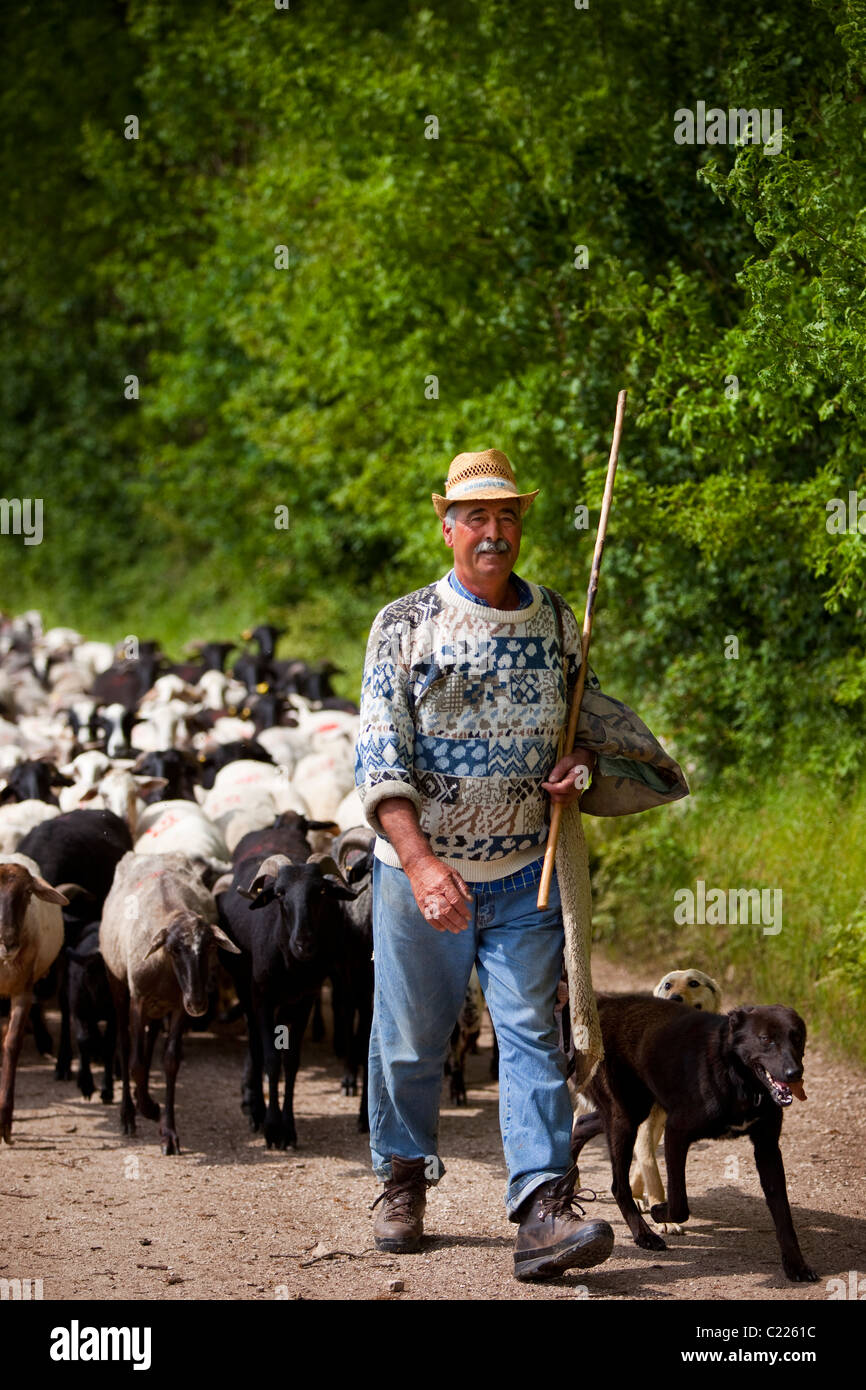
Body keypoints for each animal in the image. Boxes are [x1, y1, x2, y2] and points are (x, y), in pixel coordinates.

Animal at [572, 1000, 817, 1278]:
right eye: (766, 1039)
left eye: (797, 1037)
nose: (794, 1073)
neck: (739, 1078)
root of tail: (603, 1004)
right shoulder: (676, 1131)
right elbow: (680, 1204)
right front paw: (660, 1212)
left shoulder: (767, 1148)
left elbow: (783, 1213)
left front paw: (796, 1264)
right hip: (625, 1117)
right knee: (618, 1185)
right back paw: (644, 1235)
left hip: (631, 1110)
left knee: (583, 1123)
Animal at [631, 967, 722, 1228]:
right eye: (668, 985)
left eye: (694, 983)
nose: (675, 998)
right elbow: (651, 1167)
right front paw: (664, 1217)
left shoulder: (661, 1121)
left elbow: (644, 1162)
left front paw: (639, 1196)